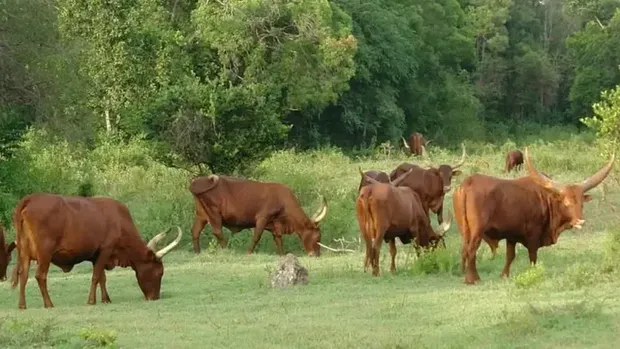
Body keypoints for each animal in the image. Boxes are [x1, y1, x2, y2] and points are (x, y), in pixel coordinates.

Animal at [9, 192, 182, 308]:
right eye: (159, 272)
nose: (155, 298)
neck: (120, 222)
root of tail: (31, 198)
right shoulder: (106, 250)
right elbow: (96, 276)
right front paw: (92, 301)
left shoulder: (97, 255)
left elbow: (102, 278)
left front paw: (106, 299)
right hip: (45, 254)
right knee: (40, 276)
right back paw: (48, 303)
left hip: (24, 254)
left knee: (23, 276)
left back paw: (22, 305)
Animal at [188, 174, 326, 256]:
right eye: (318, 236)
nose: (317, 254)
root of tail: (196, 181)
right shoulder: (262, 218)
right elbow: (257, 236)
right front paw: (248, 253)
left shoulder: (275, 225)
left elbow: (278, 240)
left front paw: (282, 254)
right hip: (214, 213)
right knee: (217, 232)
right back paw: (227, 250)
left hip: (201, 215)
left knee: (195, 231)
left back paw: (197, 252)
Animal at [452, 148, 616, 284]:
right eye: (566, 202)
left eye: (581, 203)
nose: (580, 221)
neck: (547, 197)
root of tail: (468, 183)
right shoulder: (533, 235)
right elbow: (532, 257)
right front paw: (533, 273)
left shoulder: (512, 235)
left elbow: (510, 256)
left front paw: (504, 275)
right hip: (477, 231)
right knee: (471, 250)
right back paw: (473, 279)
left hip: (464, 230)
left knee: (464, 250)